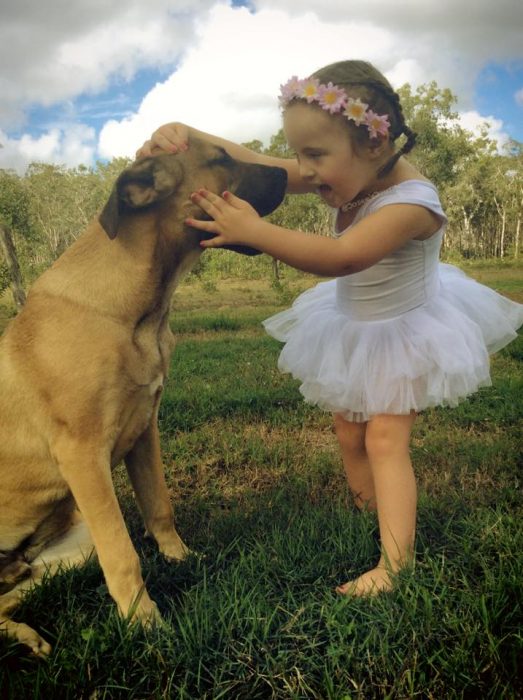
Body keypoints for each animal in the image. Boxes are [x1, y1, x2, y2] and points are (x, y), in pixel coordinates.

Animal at [0, 141, 286, 656]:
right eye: (220, 158)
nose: (289, 175)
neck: (137, 313)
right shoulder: (82, 456)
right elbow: (122, 553)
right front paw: (145, 622)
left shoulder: (144, 428)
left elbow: (159, 506)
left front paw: (181, 558)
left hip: (68, 552)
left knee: (4, 601)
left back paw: (28, 635)